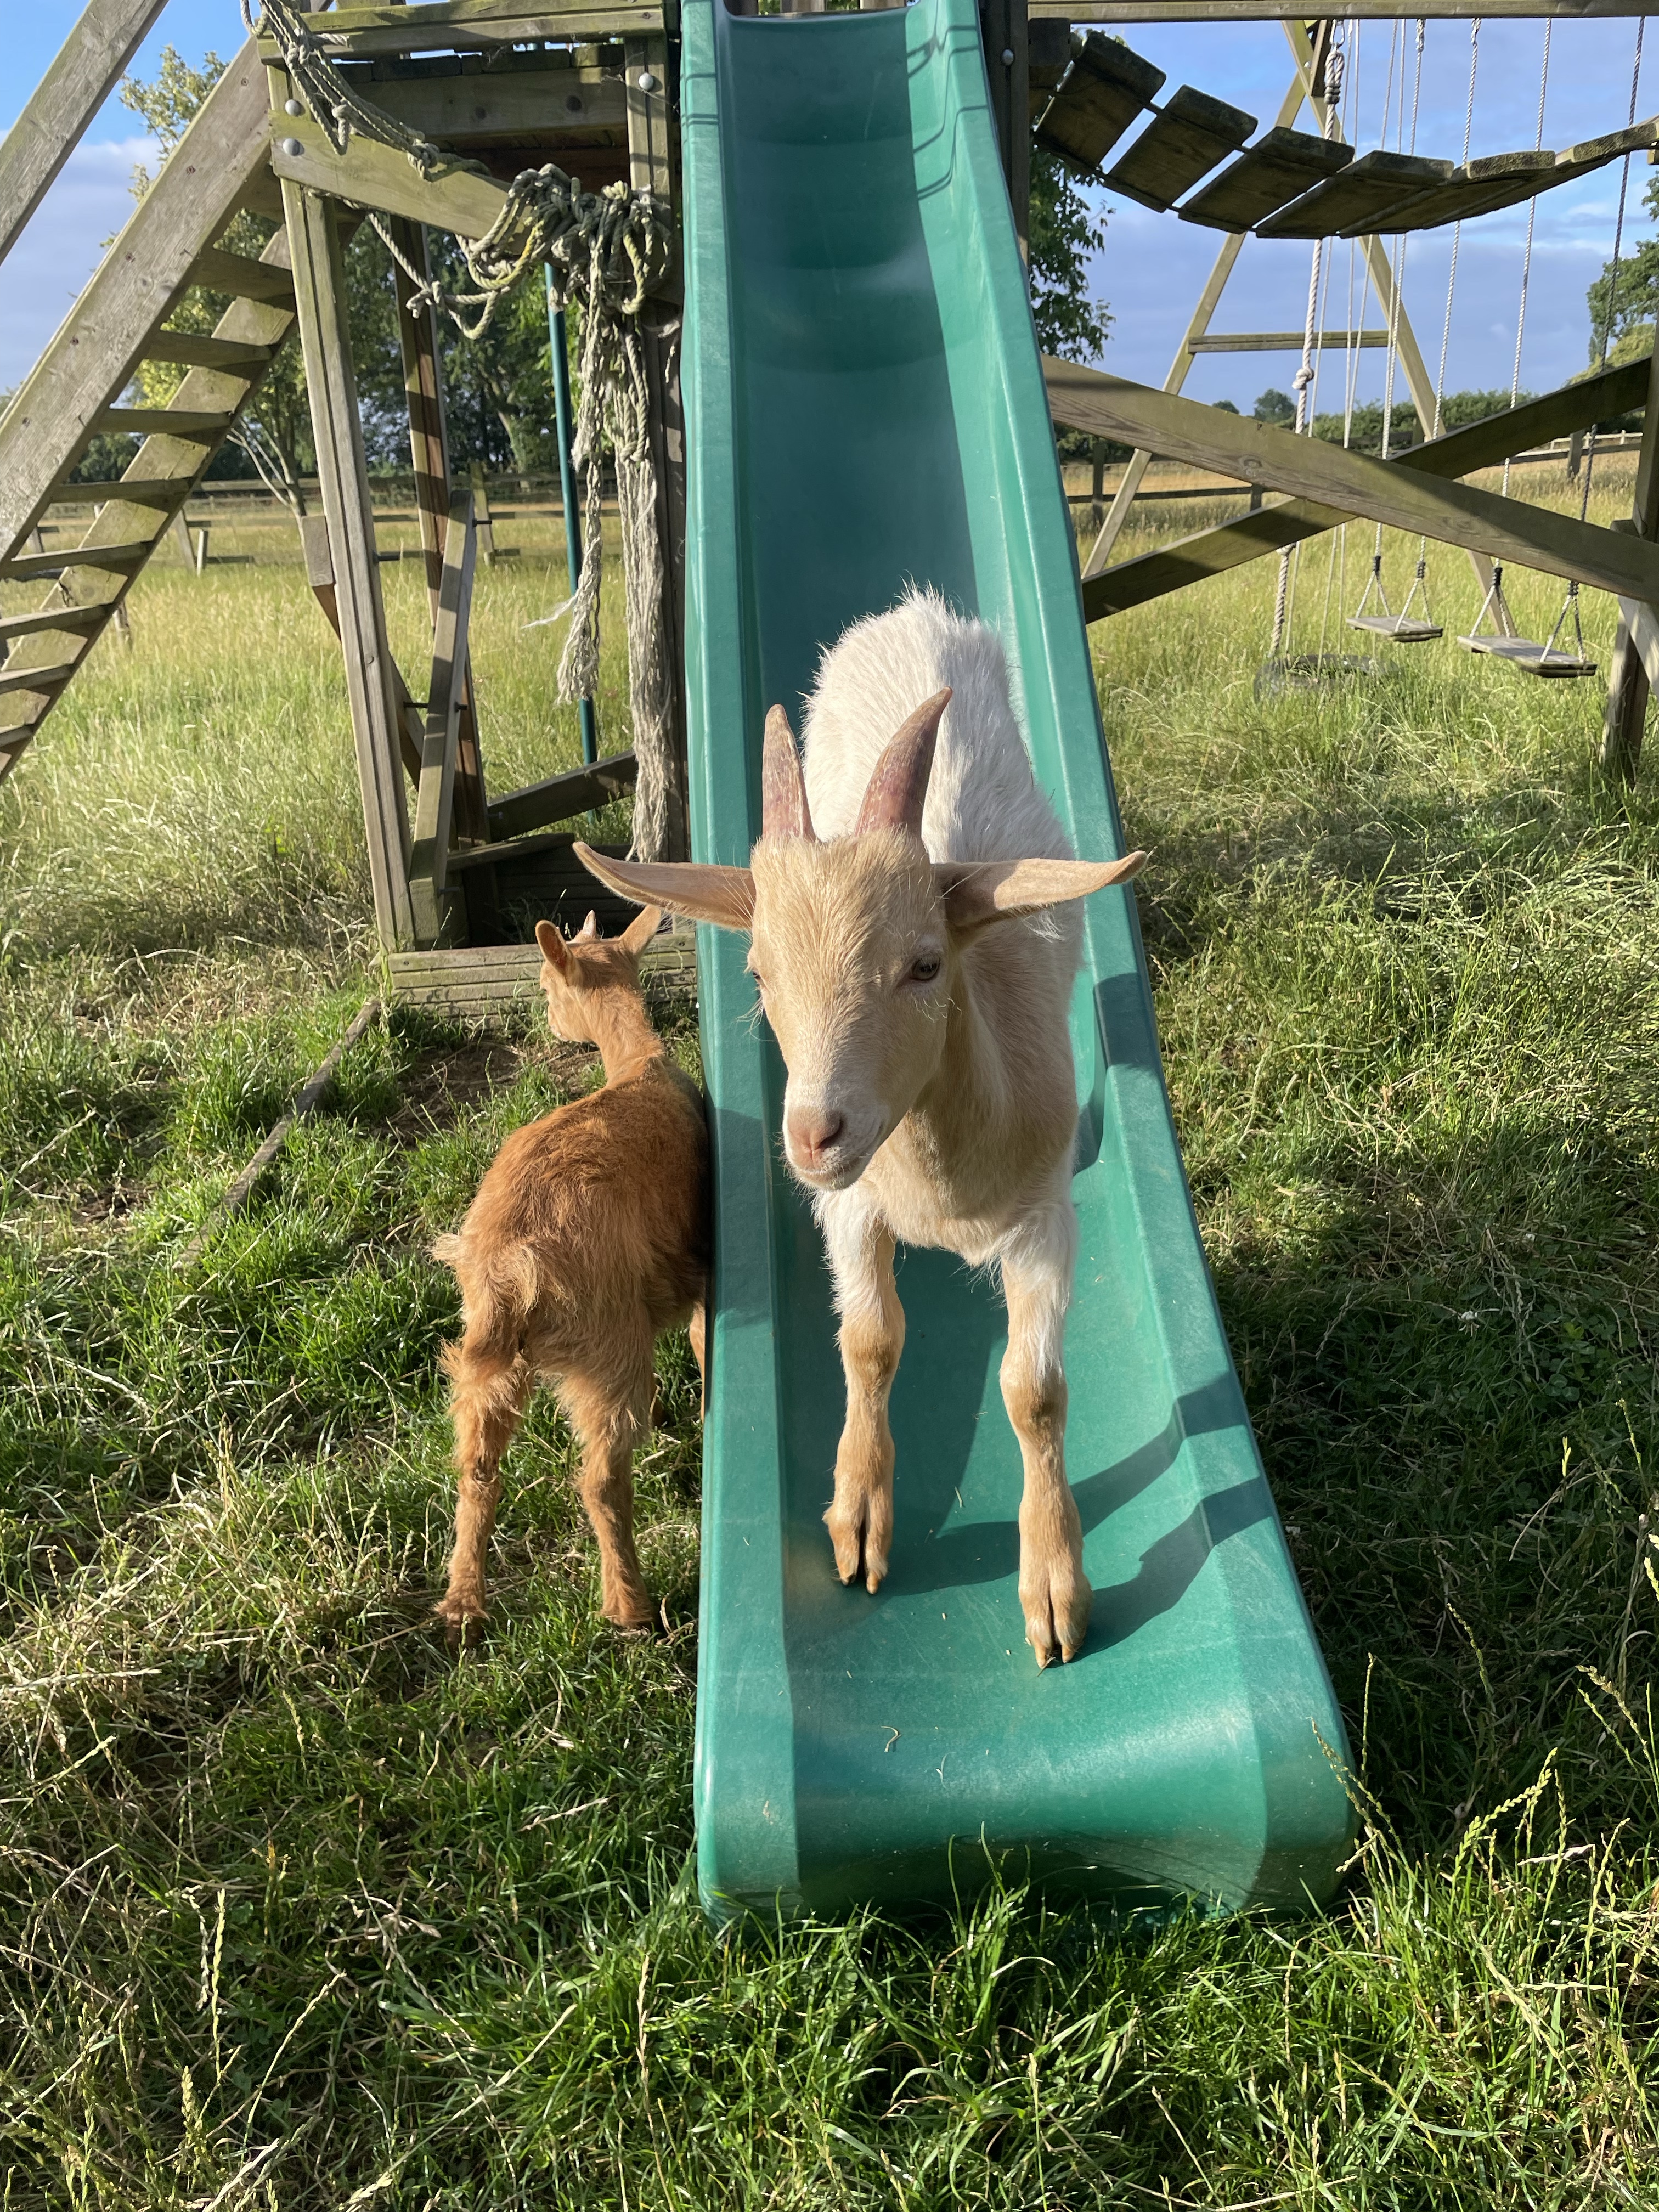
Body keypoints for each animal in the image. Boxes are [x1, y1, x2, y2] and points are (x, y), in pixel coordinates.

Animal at [432, 905, 708, 1638]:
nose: (551, 1022)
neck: (638, 1065)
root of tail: (510, 1270)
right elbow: (702, 1341)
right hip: (605, 1348)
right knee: (600, 1481)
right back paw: (629, 1608)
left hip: (487, 1367)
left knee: (476, 1471)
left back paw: (463, 1602)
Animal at [576, 588, 1144, 1665]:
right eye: (757, 970)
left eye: (924, 964)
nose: (813, 1136)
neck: (940, 1191)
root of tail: (910, 612)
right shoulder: (848, 1211)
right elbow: (872, 1339)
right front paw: (857, 1515)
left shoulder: (1046, 1219)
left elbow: (1032, 1392)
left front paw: (1055, 1588)